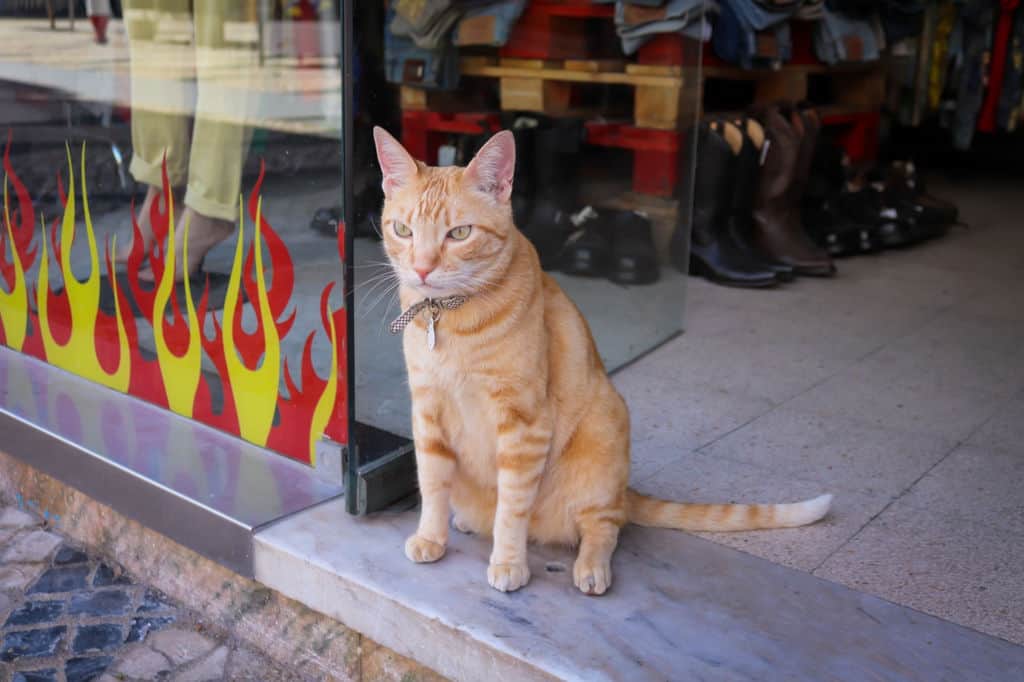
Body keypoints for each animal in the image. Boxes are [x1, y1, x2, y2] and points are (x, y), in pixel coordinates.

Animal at [376, 124, 831, 593]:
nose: (422, 269)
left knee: (604, 526)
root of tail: (624, 491)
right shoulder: (427, 412)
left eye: (460, 234)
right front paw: (431, 538)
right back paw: (469, 521)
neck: (448, 318)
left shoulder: (524, 425)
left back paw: (591, 568)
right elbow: (432, 485)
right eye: (403, 230)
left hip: (604, 437)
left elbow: (512, 508)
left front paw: (508, 562)